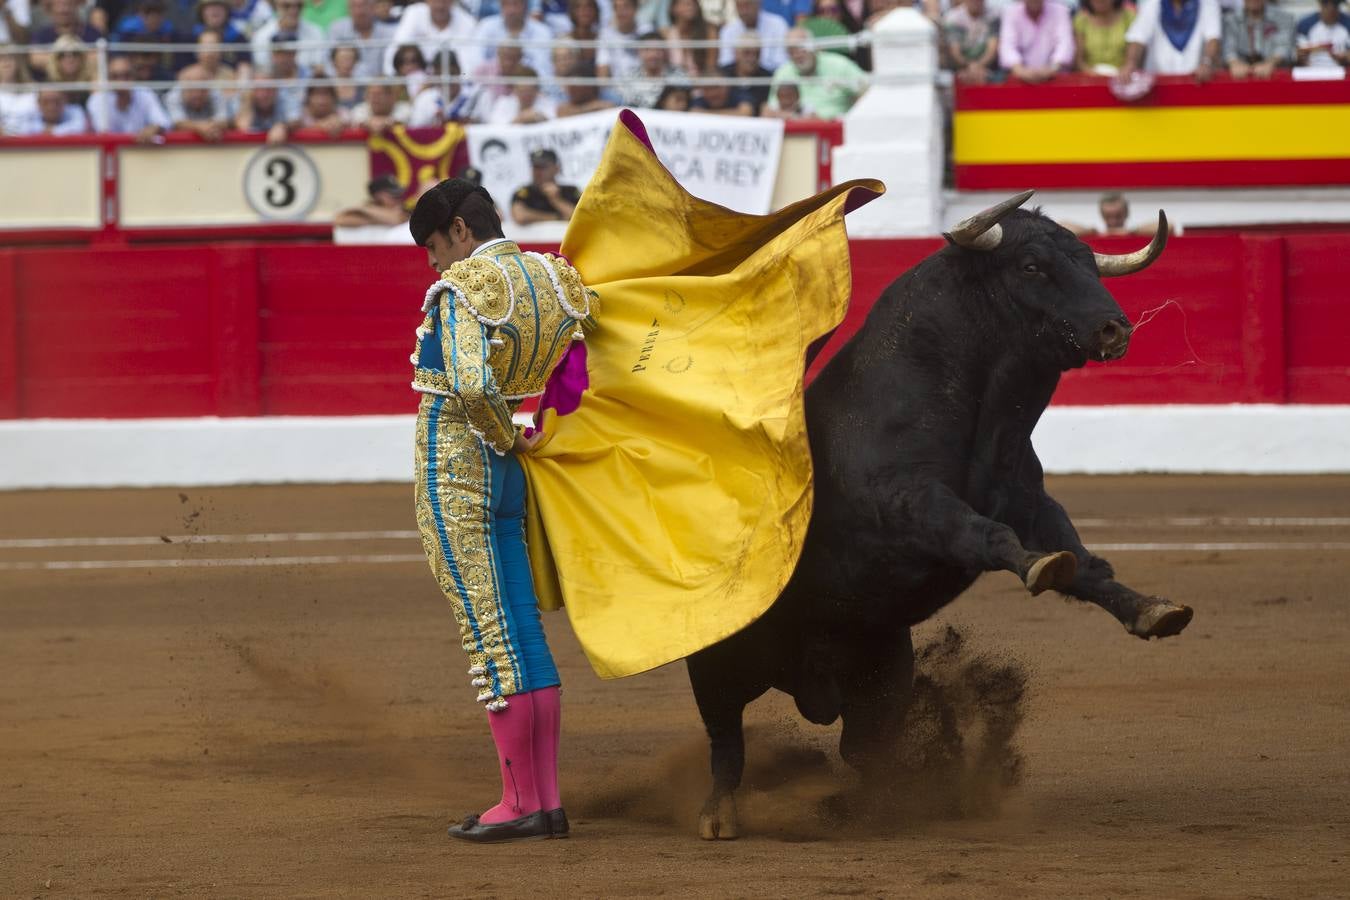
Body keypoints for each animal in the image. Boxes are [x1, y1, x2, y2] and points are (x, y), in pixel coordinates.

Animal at [685, 194, 1193, 841]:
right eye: (1031, 266)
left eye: (1087, 263)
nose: (1114, 328)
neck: (980, 413)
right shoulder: (910, 503)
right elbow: (984, 534)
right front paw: (1038, 567)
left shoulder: (1030, 499)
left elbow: (1085, 565)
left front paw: (1152, 609)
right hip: (719, 664)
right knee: (726, 740)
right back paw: (718, 816)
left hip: (884, 679)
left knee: (860, 749)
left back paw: (879, 807)